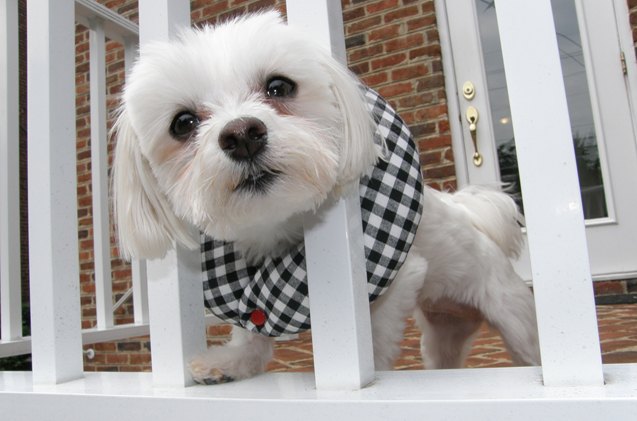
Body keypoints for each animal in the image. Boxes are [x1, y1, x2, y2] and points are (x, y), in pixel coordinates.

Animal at [112, 10, 540, 384]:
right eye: (182, 123)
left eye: (279, 87)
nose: (243, 134)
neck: (278, 226)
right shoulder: (253, 297)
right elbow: (252, 327)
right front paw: (232, 362)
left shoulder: (397, 283)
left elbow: (373, 338)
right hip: (443, 335)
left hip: (515, 321)